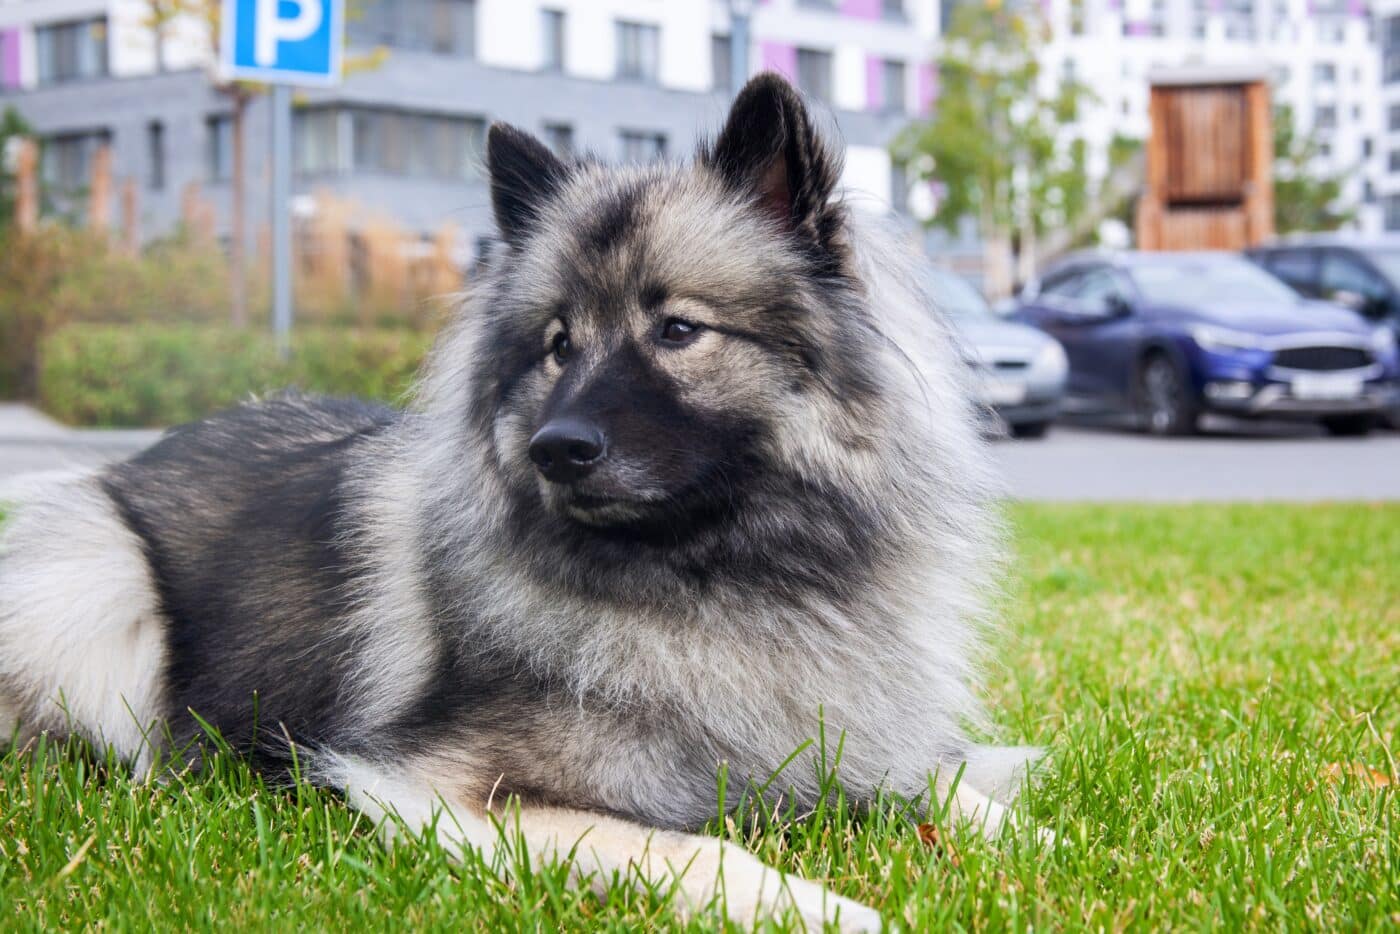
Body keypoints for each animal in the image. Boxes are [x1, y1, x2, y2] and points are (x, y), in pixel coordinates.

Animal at [0, 76, 1041, 929]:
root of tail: (132, 464)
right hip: (95, 585)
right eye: (557, 344)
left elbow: (955, 794)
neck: (724, 576)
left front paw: (1028, 836)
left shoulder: (845, 742)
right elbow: (702, 847)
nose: (558, 450)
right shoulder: (454, 791)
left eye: (678, 330)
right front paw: (825, 907)